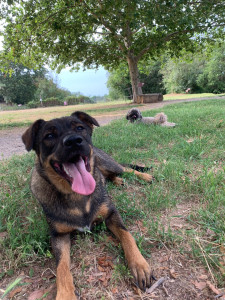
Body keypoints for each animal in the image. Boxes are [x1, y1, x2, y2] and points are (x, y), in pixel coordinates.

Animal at [22, 110, 153, 300]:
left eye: (79, 128)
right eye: (49, 136)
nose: (73, 141)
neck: (76, 195)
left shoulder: (111, 214)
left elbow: (127, 236)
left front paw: (139, 264)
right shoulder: (58, 235)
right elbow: (61, 267)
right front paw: (65, 294)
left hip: (107, 163)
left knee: (125, 169)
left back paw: (143, 176)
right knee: (108, 176)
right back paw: (118, 181)